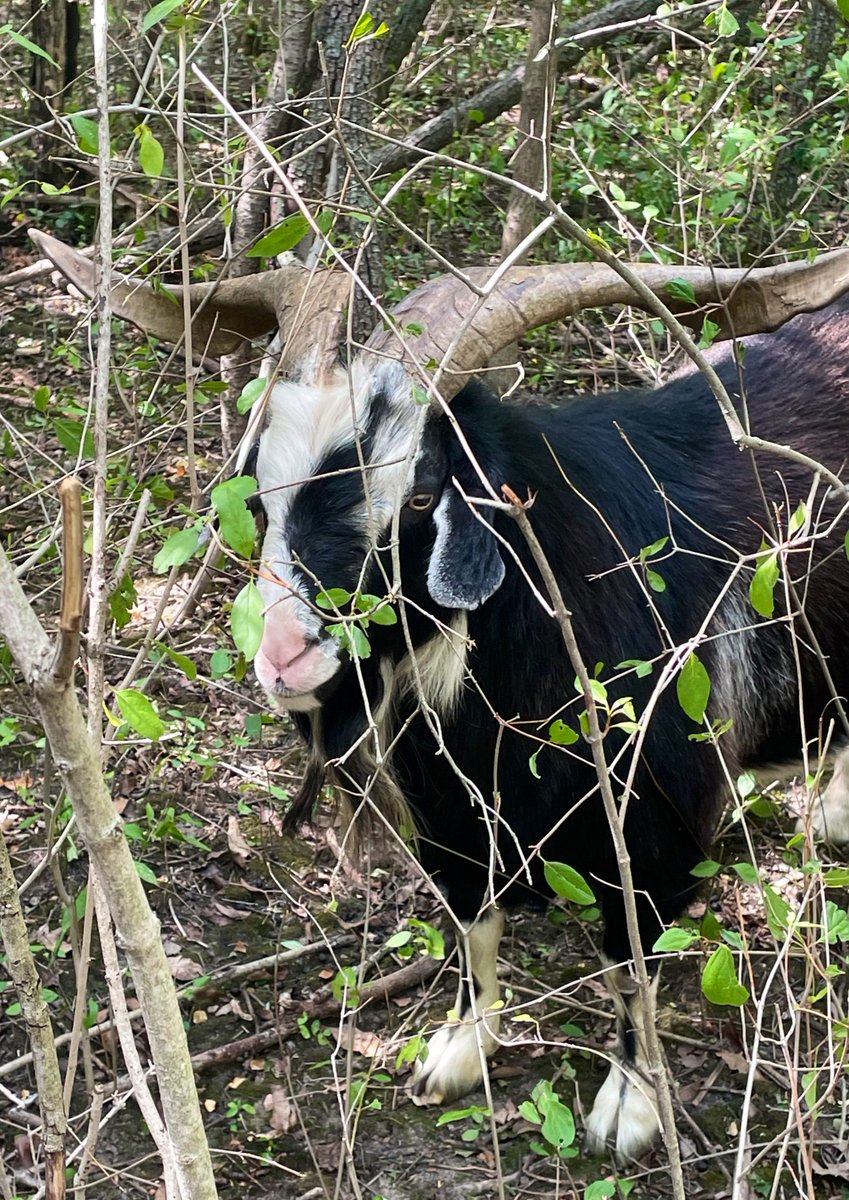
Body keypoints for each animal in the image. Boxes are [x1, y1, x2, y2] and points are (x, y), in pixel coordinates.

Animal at [33, 229, 849, 1160]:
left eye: (422, 495)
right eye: (260, 494)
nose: (283, 658)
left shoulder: (655, 825)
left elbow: (633, 960)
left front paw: (631, 1106)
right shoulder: (453, 814)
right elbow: (472, 922)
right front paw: (457, 1051)